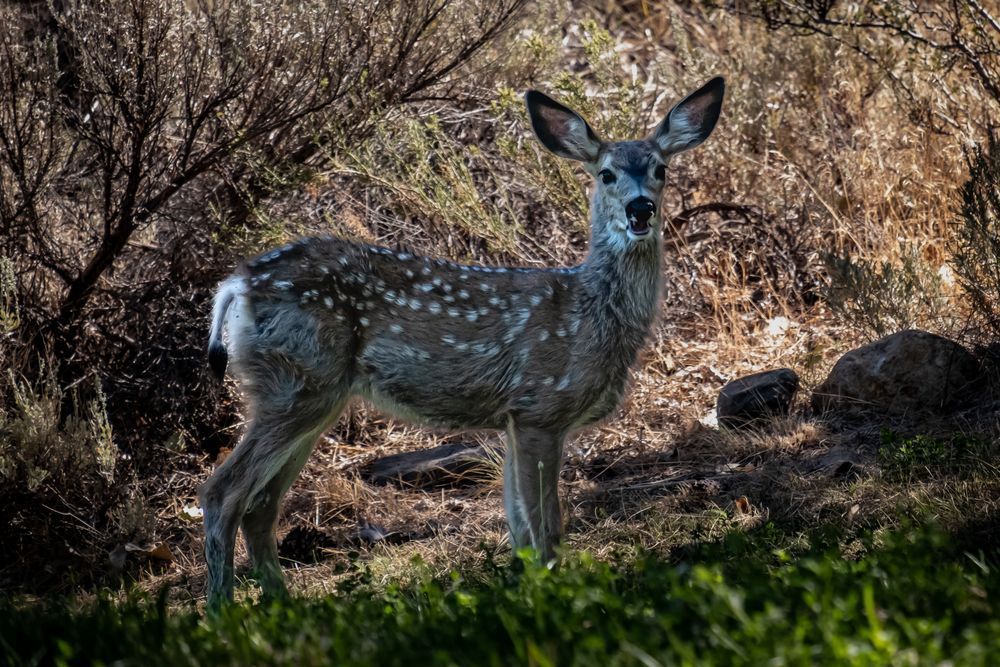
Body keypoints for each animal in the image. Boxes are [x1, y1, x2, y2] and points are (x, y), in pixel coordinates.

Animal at [201, 77, 725, 607]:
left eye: (660, 169)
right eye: (607, 174)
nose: (642, 208)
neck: (589, 315)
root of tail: (237, 284)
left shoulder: (514, 418)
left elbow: (519, 528)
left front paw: (527, 589)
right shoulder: (541, 407)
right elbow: (546, 526)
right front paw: (555, 592)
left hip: (312, 395)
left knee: (261, 504)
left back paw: (282, 607)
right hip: (296, 382)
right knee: (222, 493)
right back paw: (224, 611)